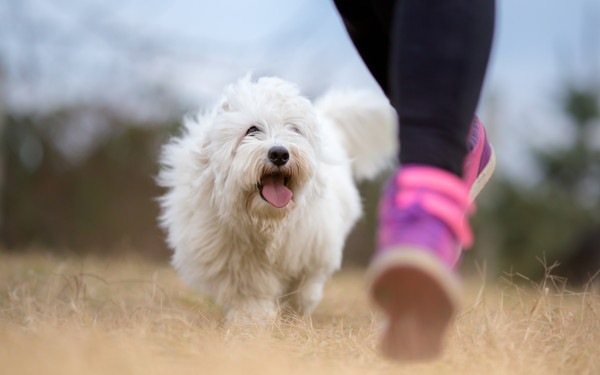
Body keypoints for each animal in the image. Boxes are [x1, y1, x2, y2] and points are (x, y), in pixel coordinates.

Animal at [157, 76, 396, 326]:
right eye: (252, 129)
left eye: (294, 129)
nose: (280, 154)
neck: (265, 220)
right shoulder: (235, 260)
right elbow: (250, 294)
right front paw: (251, 322)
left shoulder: (309, 248)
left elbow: (302, 289)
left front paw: (292, 318)